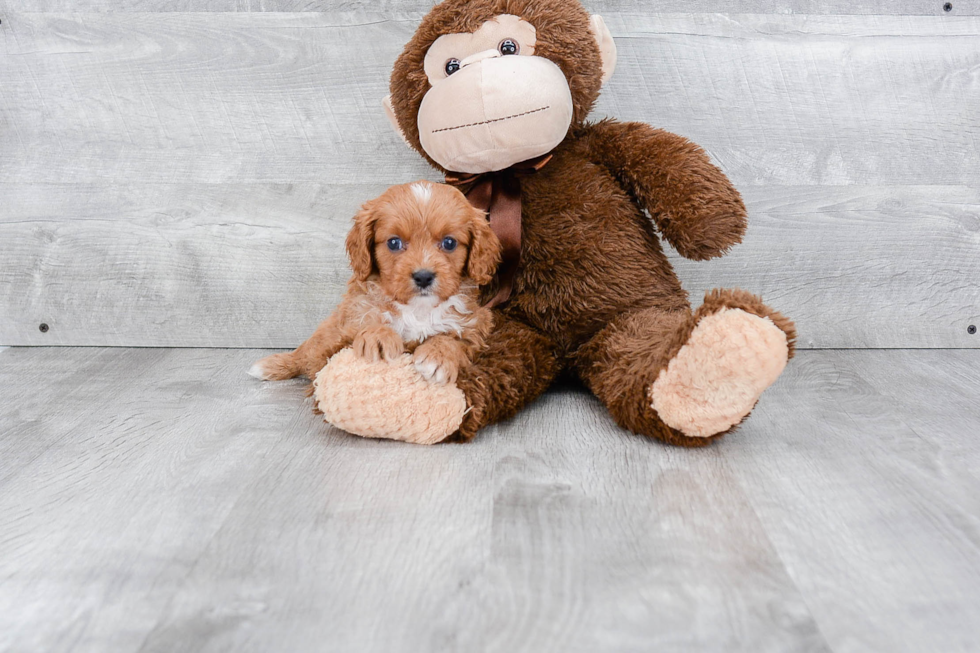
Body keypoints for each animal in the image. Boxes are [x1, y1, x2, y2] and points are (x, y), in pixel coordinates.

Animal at [249, 181, 502, 384]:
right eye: (394, 243)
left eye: (449, 243)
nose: (423, 276)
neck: (417, 310)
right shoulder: (346, 327)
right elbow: (368, 321)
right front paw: (377, 337)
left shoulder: (475, 326)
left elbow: (453, 339)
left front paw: (438, 356)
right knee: (305, 354)